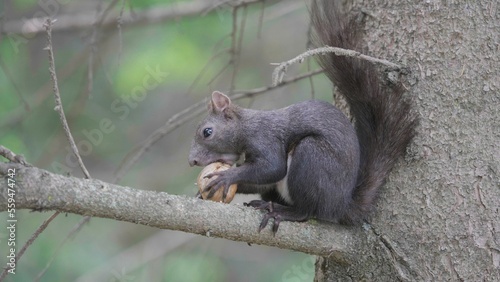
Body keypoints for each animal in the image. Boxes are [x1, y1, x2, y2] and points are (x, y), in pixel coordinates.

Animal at [188, 0, 418, 232]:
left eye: (207, 132)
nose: (192, 161)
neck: (246, 126)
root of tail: (341, 205)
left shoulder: (265, 138)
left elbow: (273, 167)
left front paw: (227, 176)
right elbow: (263, 180)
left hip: (312, 159)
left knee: (307, 211)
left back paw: (282, 212)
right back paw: (266, 204)